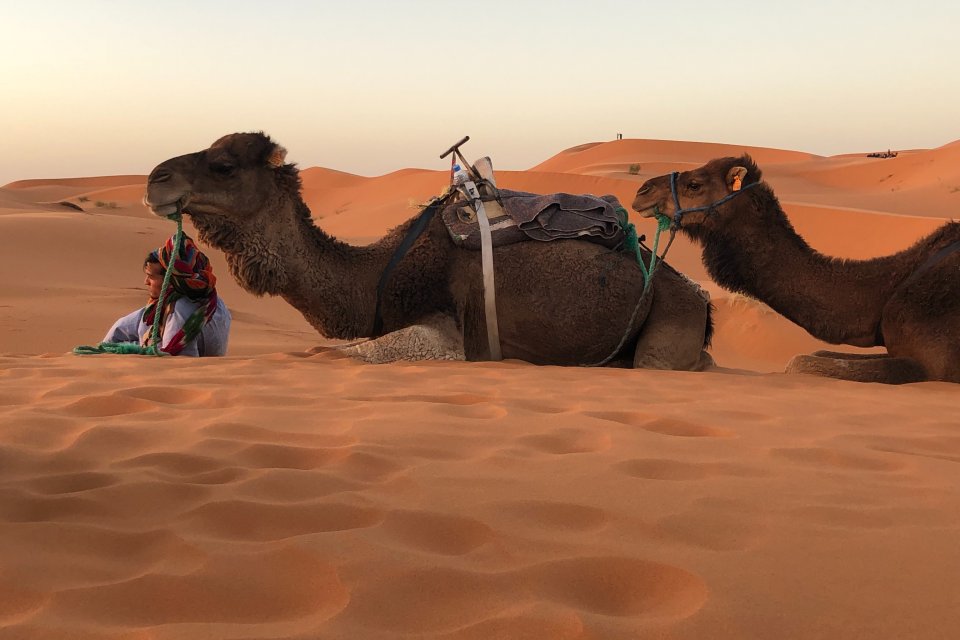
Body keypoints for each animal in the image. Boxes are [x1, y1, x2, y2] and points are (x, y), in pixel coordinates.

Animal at [144, 132, 714, 369]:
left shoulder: (454, 336)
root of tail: (705, 304)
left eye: (223, 165)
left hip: (670, 319)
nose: (155, 179)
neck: (388, 273)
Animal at [631, 155, 960, 383]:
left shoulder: (928, 365)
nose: (642, 191)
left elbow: (798, 363)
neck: (887, 289)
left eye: (694, 185)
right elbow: (813, 354)